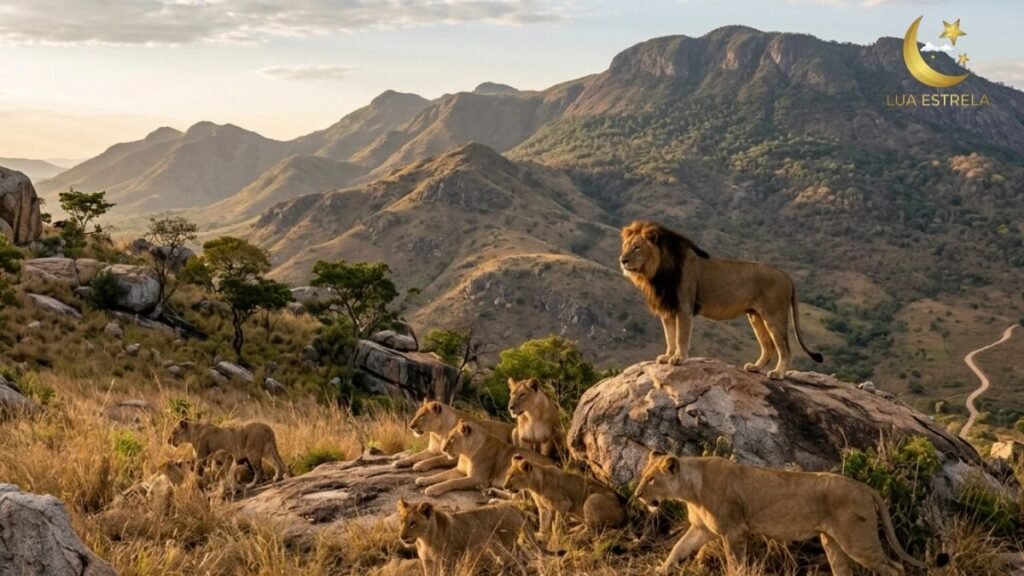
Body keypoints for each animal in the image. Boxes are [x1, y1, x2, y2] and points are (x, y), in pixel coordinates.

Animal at [397, 498, 533, 575]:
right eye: (401, 521)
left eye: (413, 523)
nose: (402, 537)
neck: (425, 540)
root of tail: (513, 505)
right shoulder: (428, 563)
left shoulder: (447, 562)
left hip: (508, 546)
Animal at [414, 419, 552, 497]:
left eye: (452, 439)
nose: (442, 449)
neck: (466, 454)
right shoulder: (460, 471)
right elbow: (440, 475)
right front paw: (423, 479)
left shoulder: (478, 479)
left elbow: (452, 482)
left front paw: (433, 489)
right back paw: (491, 492)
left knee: (519, 499)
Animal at [619, 221, 822, 380]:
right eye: (625, 247)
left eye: (636, 247)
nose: (622, 260)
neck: (656, 272)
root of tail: (787, 276)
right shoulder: (667, 309)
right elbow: (670, 336)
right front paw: (667, 356)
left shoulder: (684, 306)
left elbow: (680, 336)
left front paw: (678, 359)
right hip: (755, 316)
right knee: (769, 346)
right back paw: (755, 368)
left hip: (774, 314)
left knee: (785, 348)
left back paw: (778, 374)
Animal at [635, 453, 942, 576]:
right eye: (643, 476)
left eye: (651, 479)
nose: (637, 494)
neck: (690, 488)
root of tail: (865, 486)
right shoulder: (703, 529)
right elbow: (678, 548)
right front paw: (661, 570)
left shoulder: (734, 530)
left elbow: (735, 562)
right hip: (832, 542)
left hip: (857, 539)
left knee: (895, 567)